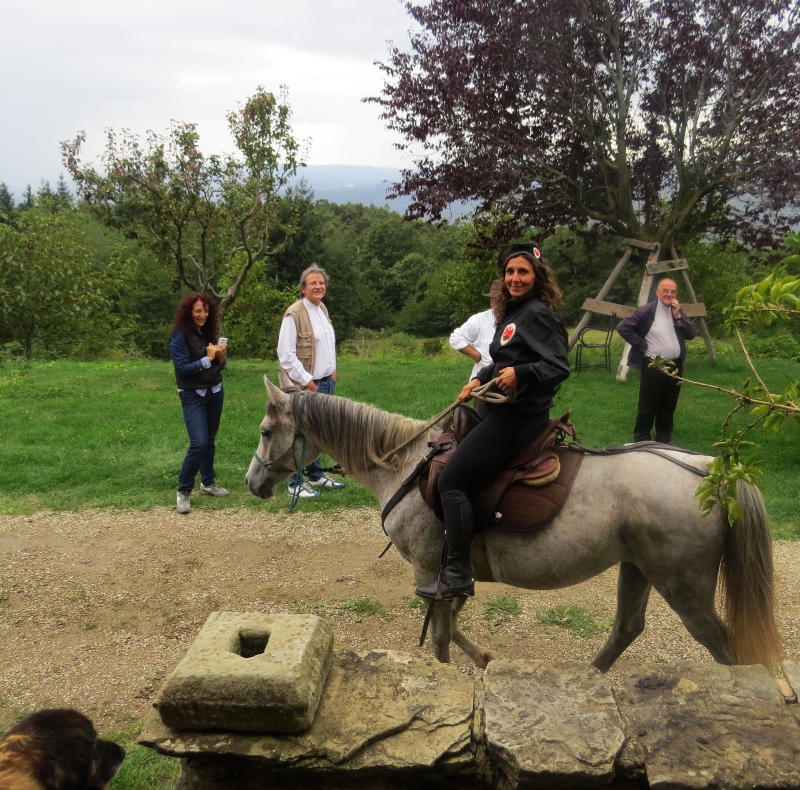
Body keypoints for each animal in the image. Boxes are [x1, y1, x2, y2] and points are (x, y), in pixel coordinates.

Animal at [245, 382, 780, 676]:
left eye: (266, 432)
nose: (252, 482)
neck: (405, 464)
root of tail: (712, 470)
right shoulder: (450, 574)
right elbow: (453, 624)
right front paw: (483, 659)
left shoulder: (429, 569)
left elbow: (440, 637)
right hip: (638, 568)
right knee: (627, 629)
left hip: (684, 586)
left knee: (726, 649)